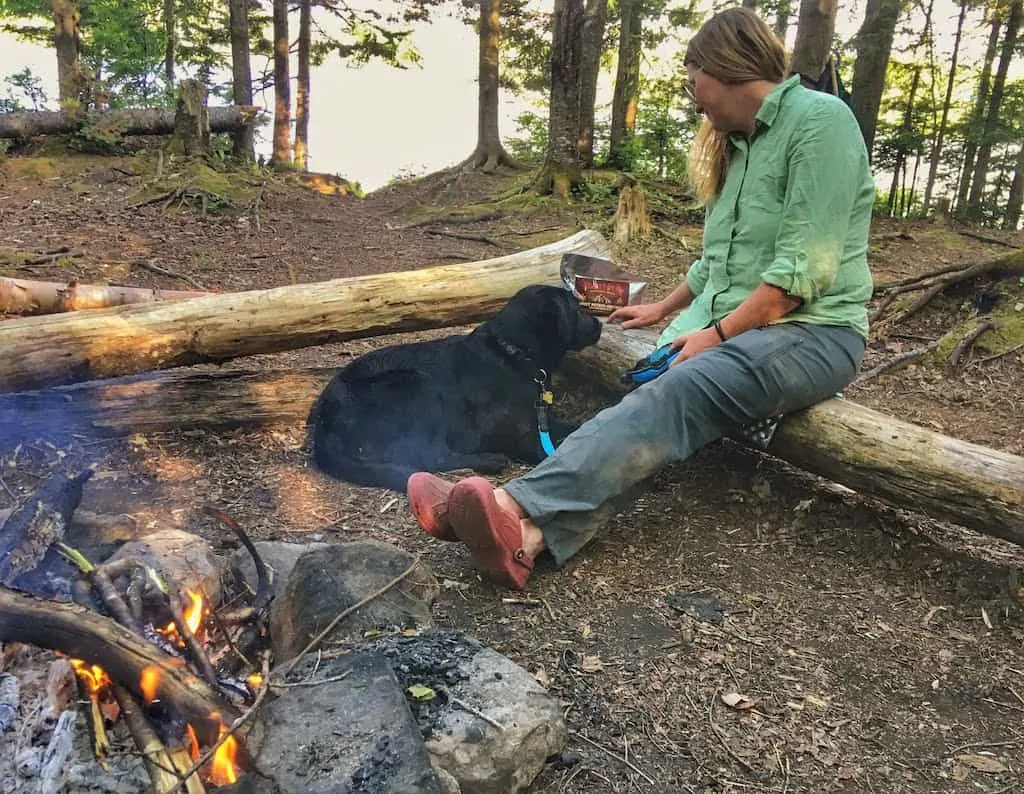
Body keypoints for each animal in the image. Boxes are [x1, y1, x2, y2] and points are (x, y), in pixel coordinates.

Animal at [307, 284, 602, 489]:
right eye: (576, 309)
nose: (599, 323)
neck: (515, 355)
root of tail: (323, 422)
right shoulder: (519, 435)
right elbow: (550, 455)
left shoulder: (541, 420)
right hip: (419, 388)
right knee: (430, 455)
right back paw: (489, 460)